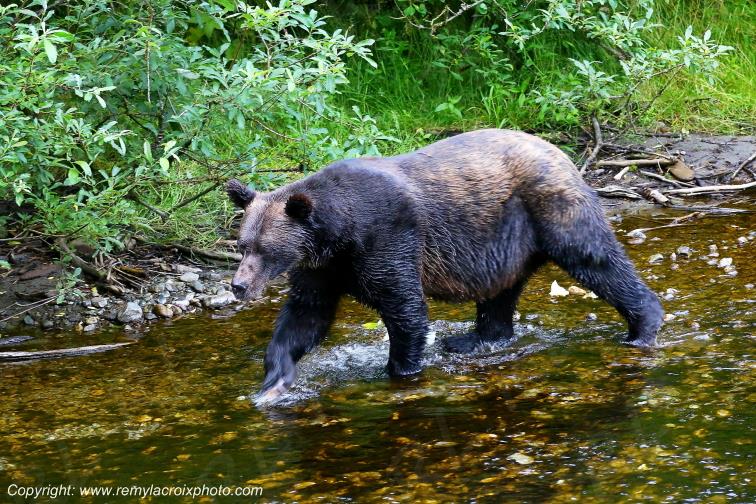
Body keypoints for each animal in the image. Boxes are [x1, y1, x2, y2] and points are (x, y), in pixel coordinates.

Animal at [226, 129, 664, 404]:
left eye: (264, 249)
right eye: (243, 245)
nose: (238, 286)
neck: (338, 231)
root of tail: (562, 152)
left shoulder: (388, 236)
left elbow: (405, 309)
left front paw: (399, 371)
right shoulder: (324, 267)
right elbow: (306, 316)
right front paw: (274, 379)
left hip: (547, 209)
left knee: (595, 258)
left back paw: (642, 326)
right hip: (504, 239)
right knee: (500, 292)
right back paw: (475, 338)